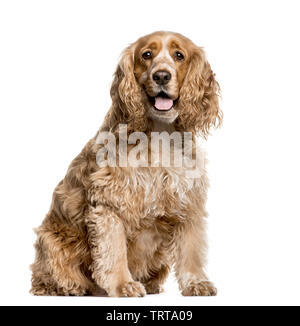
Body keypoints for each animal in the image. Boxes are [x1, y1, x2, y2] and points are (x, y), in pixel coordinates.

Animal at [31, 31, 223, 296]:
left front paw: (196, 282)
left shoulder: (188, 203)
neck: (160, 135)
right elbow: (114, 252)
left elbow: (191, 250)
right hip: (51, 239)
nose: (161, 75)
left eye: (179, 55)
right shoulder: (109, 205)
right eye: (147, 54)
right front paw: (123, 285)